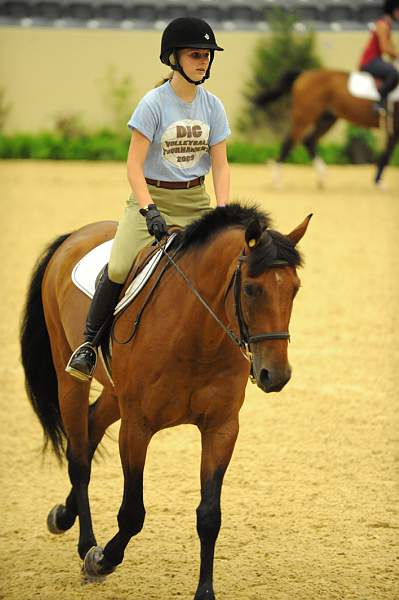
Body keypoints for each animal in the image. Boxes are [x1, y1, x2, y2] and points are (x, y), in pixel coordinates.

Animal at [19, 204, 312, 596]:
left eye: (294, 289)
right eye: (251, 289)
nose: (275, 375)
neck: (198, 333)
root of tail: (77, 234)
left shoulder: (221, 428)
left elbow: (209, 516)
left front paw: (205, 592)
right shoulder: (137, 427)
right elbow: (132, 514)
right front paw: (101, 560)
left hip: (115, 394)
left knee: (93, 424)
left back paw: (64, 516)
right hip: (70, 378)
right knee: (79, 458)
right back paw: (86, 545)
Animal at [256, 67, 399, 188]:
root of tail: (304, 74)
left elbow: (386, 153)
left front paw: (378, 181)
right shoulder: (395, 130)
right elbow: (387, 154)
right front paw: (378, 182)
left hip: (326, 119)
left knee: (308, 141)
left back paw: (321, 177)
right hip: (304, 117)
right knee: (289, 142)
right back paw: (277, 181)